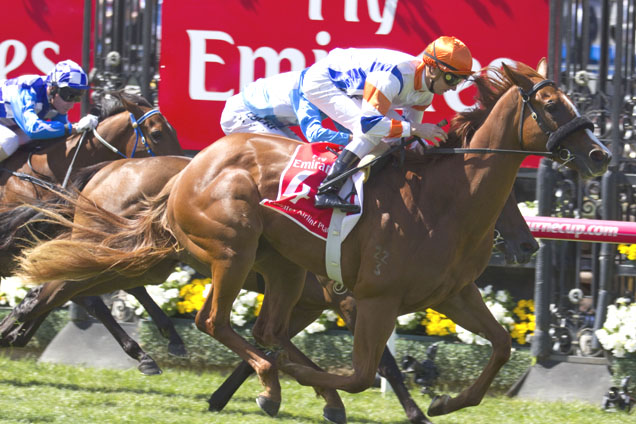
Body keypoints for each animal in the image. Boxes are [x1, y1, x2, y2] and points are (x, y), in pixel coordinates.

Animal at [13, 61, 612, 422]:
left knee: (252, 326)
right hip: (231, 251)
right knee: (211, 320)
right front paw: (315, 387)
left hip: (266, 266)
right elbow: (364, 372)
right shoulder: (369, 299)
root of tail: (189, 172)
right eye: (552, 105)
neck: (448, 199)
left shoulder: (452, 294)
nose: (601, 155)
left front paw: (444, 402)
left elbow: (502, 346)